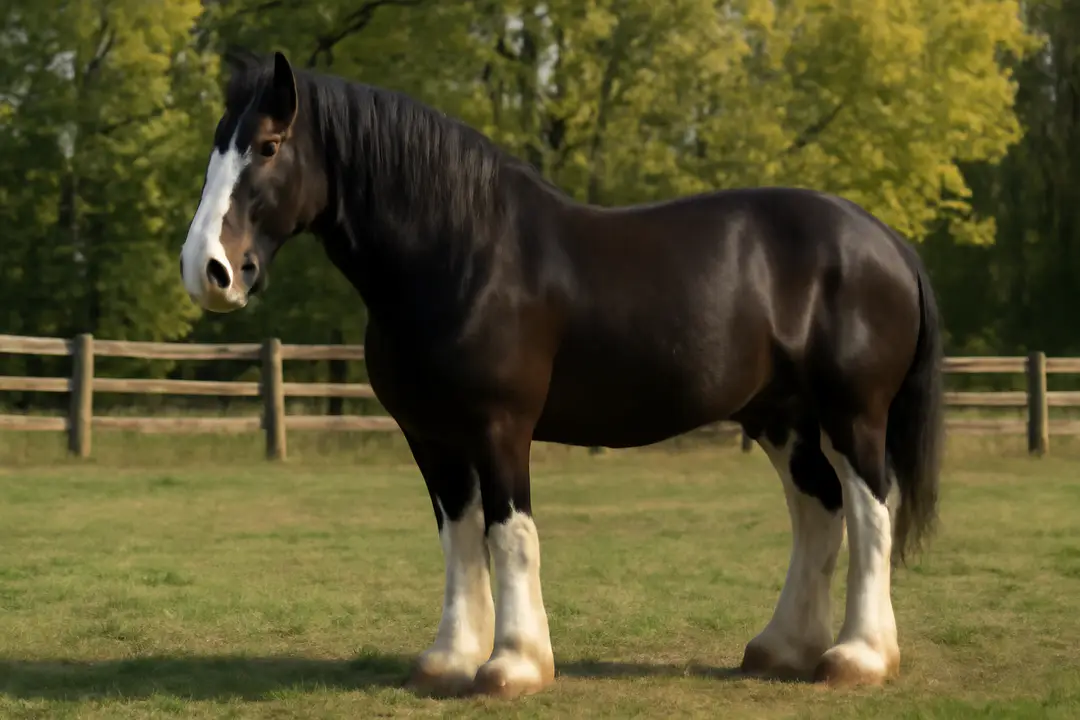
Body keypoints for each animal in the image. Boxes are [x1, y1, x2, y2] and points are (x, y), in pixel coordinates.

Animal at [179, 50, 944, 699]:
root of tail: (885, 240)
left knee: (870, 513)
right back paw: (782, 649)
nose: (209, 270)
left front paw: (513, 665)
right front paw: (448, 659)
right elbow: (459, 538)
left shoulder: (500, 428)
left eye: (268, 146)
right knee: (818, 511)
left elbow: (510, 535)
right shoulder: (431, 436)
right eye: (218, 145)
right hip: (781, 417)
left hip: (852, 414)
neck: (459, 253)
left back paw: (858, 657)